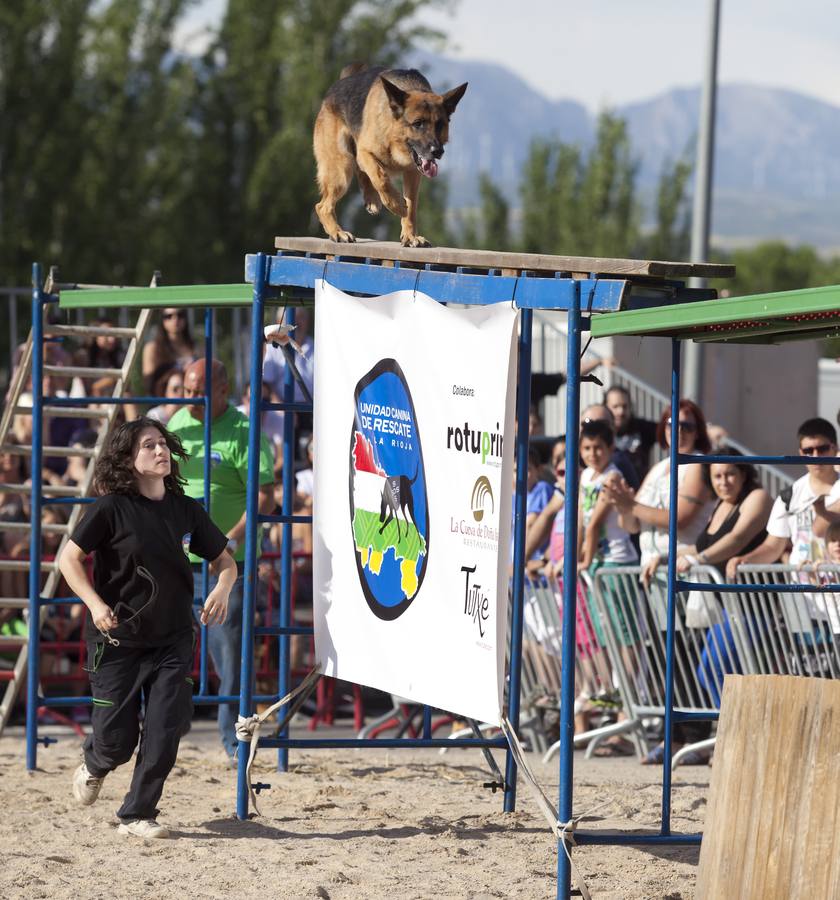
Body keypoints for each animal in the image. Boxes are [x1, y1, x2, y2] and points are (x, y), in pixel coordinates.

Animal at [312, 63, 466, 248]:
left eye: (440, 124)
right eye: (418, 124)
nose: (438, 151)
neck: (395, 140)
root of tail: (337, 86)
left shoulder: (413, 173)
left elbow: (412, 205)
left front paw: (410, 236)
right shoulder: (365, 152)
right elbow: (381, 178)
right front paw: (397, 205)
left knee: (360, 174)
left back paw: (371, 199)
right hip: (341, 169)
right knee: (322, 206)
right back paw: (338, 232)